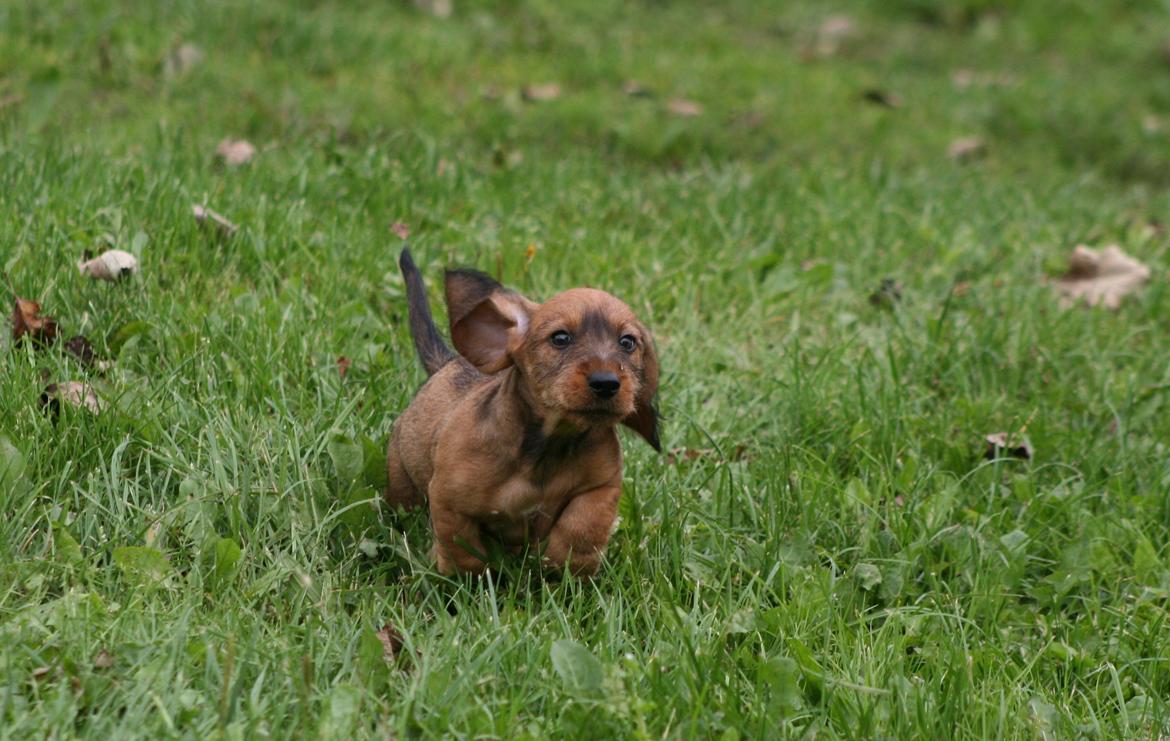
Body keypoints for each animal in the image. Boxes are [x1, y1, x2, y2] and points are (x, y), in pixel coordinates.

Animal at [383, 248, 659, 578]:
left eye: (628, 342)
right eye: (560, 338)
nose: (606, 383)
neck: (549, 446)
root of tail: (446, 364)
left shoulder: (600, 487)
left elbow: (580, 528)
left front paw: (562, 569)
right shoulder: (449, 501)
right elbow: (462, 550)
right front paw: (465, 581)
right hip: (402, 483)